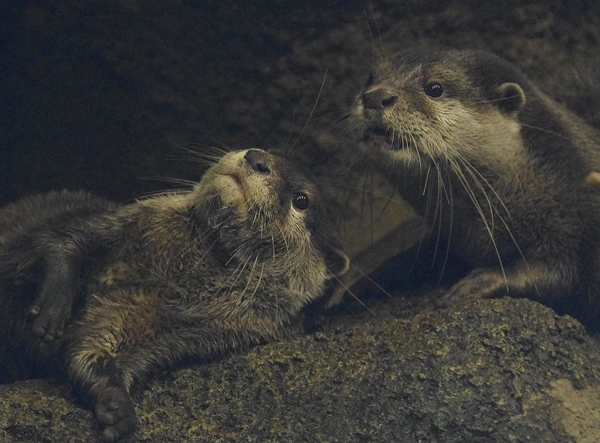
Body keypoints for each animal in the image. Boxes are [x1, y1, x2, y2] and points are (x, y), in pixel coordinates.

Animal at [0, 150, 350, 443]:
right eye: (267, 150)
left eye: (301, 199)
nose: (257, 157)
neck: (171, 273)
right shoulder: (124, 222)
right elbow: (63, 238)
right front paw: (52, 308)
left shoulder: (156, 327)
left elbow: (94, 352)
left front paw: (118, 409)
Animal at [350, 48, 600, 332]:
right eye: (371, 78)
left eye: (434, 88)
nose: (374, 96)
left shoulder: (578, 222)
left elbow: (560, 275)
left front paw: (482, 280)